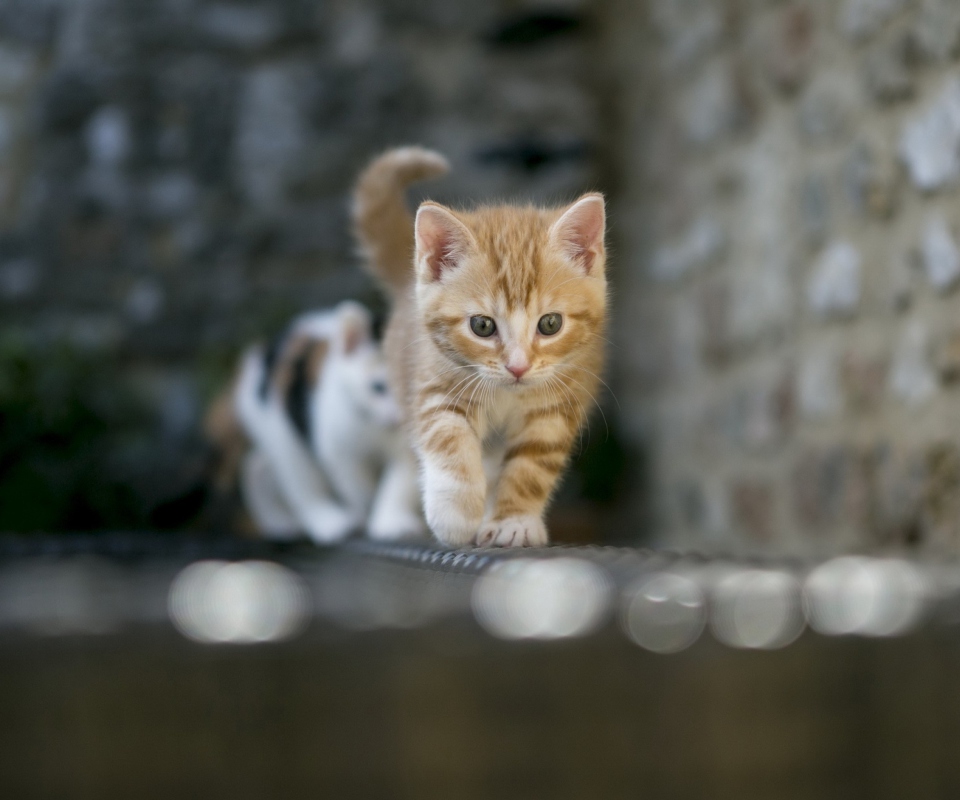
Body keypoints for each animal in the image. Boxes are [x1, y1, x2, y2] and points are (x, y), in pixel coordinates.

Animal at [352, 147, 608, 548]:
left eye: (550, 324)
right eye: (482, 326)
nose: (518, 367)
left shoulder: (558, 401)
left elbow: (532, 464)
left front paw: (514, 520)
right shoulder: (434, 381)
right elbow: (448, 439)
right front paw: (455, 514)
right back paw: (392, 516)